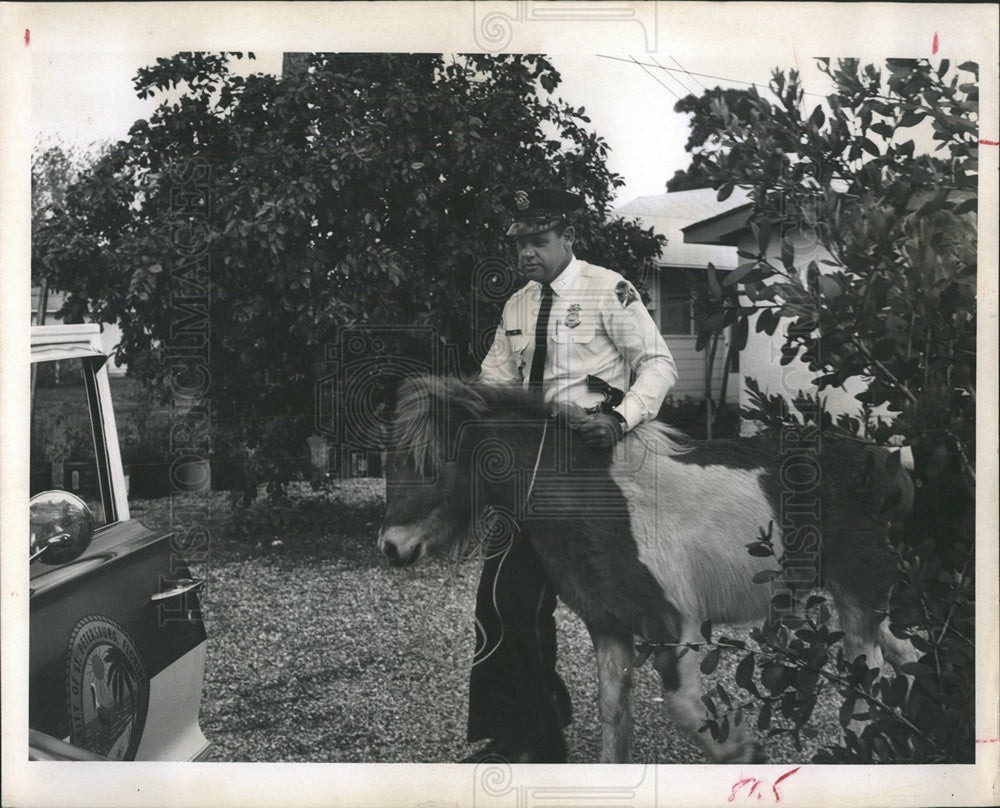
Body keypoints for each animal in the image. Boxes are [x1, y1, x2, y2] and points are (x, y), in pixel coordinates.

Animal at [376, 376, 920, 760]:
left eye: (430, 466)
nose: (390, 546)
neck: (595, 501)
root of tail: (889, 460)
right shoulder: (609, 626)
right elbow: (614, 714)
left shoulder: (676, 627)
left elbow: (684, 708)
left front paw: (743, 750)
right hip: (867, 600)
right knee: (904, 660)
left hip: (859, 595)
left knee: (867, 684)